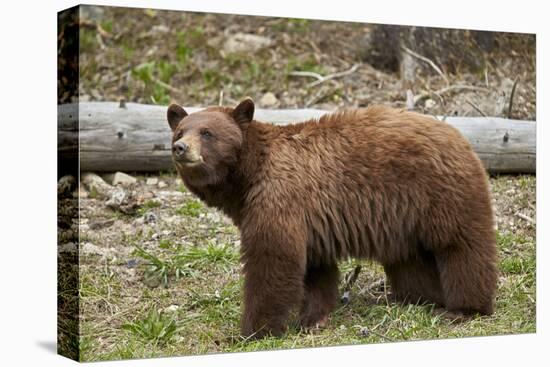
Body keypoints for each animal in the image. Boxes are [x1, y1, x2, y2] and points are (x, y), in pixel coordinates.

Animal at [167, 98, 500, 340]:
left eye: (207, 132)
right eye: (180, 130)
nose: (180, 148)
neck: (248, 176)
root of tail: (459, 136)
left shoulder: (279, 197)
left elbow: (272, 259)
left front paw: (252, 330)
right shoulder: (309, 219)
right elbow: (315, 269)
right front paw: (313, 318)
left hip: (439, 193)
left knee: (460, 247)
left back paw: (464, 308)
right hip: (405, 219)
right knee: (410, 260)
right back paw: (418, 298)